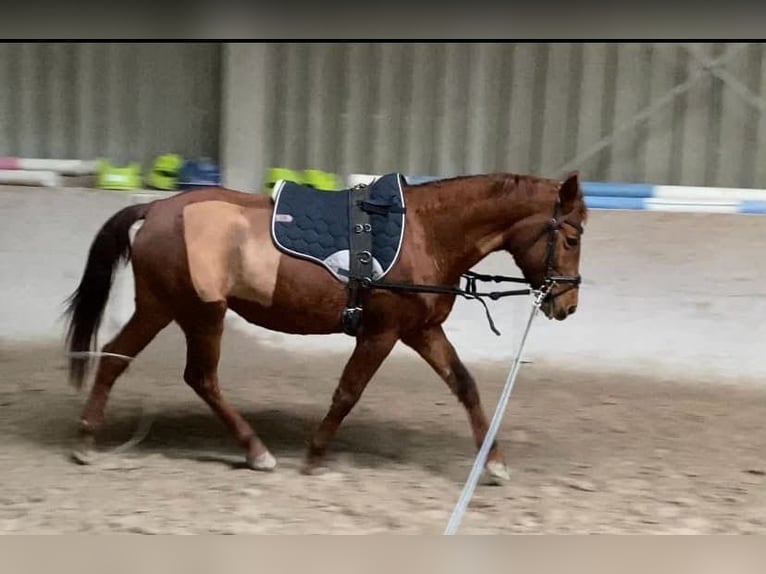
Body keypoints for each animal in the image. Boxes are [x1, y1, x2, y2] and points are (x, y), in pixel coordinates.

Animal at [63, 170, 588, 482]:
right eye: (572, 237)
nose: (567, 304)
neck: (424, 233)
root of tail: (156, 209)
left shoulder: (421, 331)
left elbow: (465, 385)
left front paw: (493, 462)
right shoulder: (382, 332)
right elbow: (348, 391)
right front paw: (315, 455)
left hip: (162, 307)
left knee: (115, 358)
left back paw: (87, 439)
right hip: (200, 312)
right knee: (201, 377)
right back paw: (257, 451)